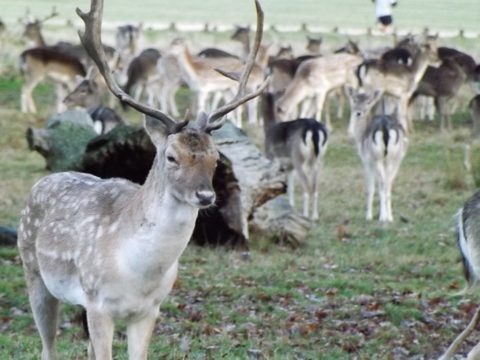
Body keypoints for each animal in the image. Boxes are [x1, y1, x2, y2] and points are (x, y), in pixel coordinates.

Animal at [16, 0, 268, 360]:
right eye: (171, 156)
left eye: (216, 157)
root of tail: (43, 182)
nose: (205, 196)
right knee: (47, 347)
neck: (138, 274)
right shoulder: (98, 303)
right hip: (34, 272)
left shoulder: (150, 310)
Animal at [260, 91, 328, 219]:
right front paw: (291, 207)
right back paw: (315, 216)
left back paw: (306, 215)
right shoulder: (289, 167)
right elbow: (290, 188)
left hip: (299, 159)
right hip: (318, 160)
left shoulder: (272, 159)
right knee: (315, 188)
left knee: (307, 187)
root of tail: (314, 129)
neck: (269, 128)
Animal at [346, 87, 406, 222]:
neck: (360, 136)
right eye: (355, 100)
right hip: (393, 158)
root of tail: (385, 127)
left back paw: (382, 217)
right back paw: (389, 217)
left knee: (383, 183)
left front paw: (368, 216)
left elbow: (371, 188)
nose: (358, 112)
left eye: (368, 102)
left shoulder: (367, 161)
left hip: (377, 158)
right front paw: (387, 215)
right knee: (388, 183)